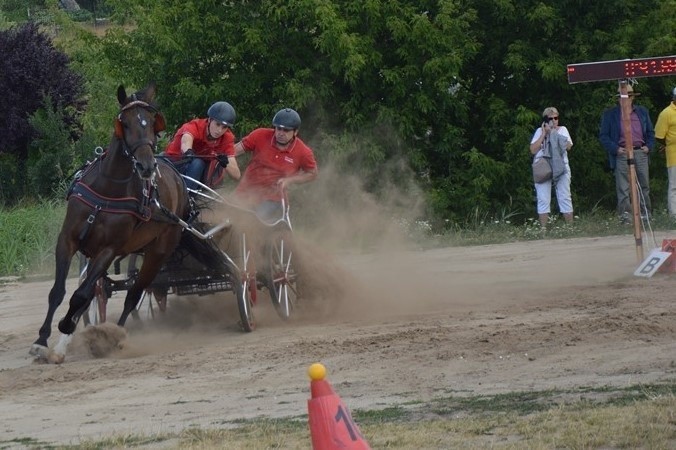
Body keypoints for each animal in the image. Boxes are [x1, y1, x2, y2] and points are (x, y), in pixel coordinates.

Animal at [28, 82, 187, 364]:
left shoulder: (109, 250)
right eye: (125, 123)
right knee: (99, 291)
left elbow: (80, 295)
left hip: (158, 252)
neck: (108, 190)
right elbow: (59, 292)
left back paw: (114, 337)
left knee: (134, 295)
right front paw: (42, 341)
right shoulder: (68, 240)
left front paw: (66, 326)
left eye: (151, 123)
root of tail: (176, 175)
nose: (147, 166)